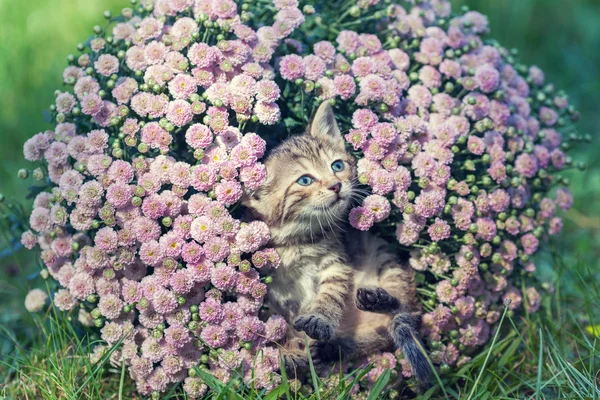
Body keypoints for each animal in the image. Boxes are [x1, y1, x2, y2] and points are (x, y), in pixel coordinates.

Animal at [244, 101, 432, 382]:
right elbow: (277, 324)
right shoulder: (269, 289)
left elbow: (331, 294)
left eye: (337, 166)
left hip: (385, 260)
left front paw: (320, 318)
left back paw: (377, 301)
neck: (297, 240)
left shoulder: (336, 263)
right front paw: (289, 352)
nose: (336, 185)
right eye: (305, 180)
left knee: (405, 311)